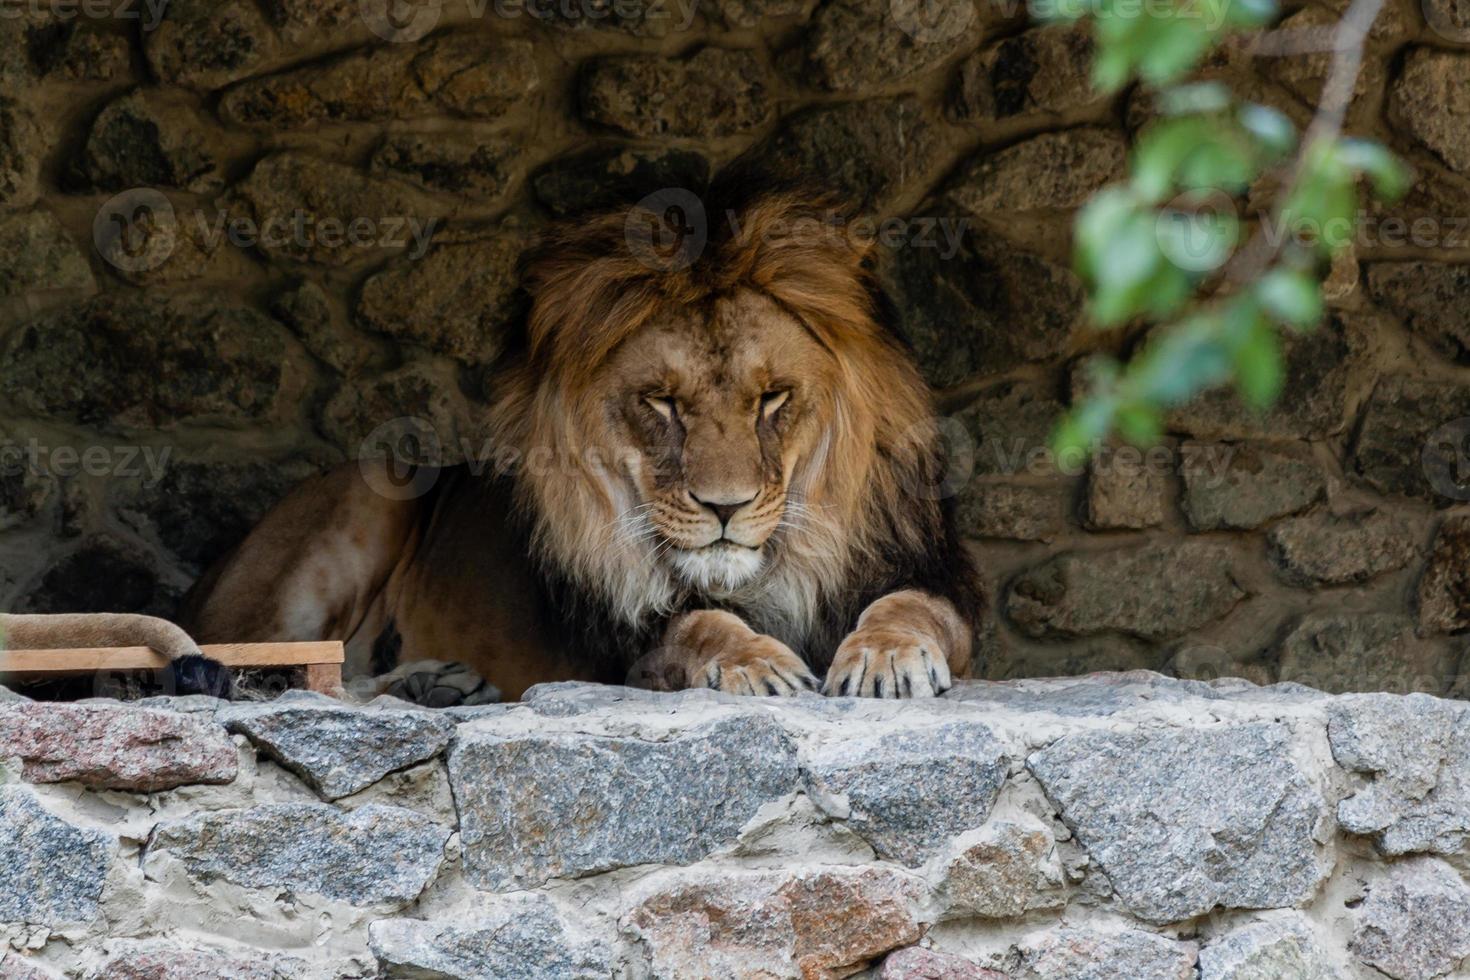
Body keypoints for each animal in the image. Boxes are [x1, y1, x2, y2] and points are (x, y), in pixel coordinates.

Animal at [152, 176, 976, 702]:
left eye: (772, 397)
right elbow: (700, 625)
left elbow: (916, 608)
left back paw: (434, 683)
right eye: (662, 403)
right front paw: (754, 662)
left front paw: (887, 658)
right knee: (278, 674)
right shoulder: (625, 652)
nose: (725, 508)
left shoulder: (931, 579)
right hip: (368, 490)